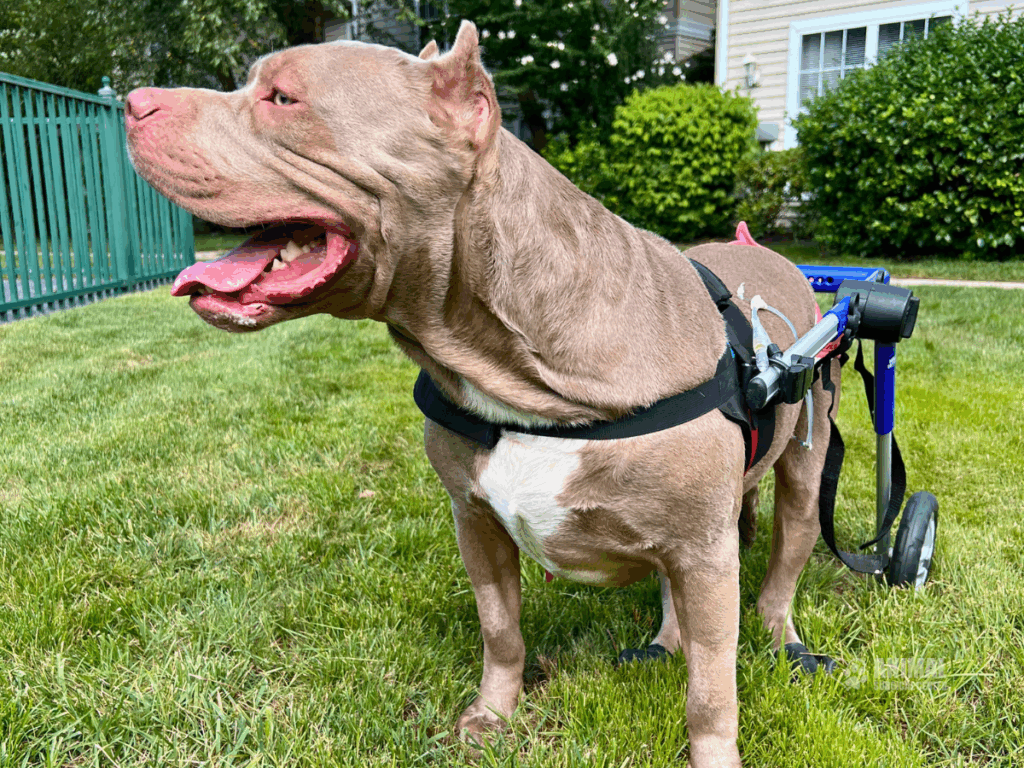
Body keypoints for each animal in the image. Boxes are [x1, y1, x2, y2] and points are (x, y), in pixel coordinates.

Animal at [125, 22, 839, 767]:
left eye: (283, 98)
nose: (133, 101)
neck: (520, 373)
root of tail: (767, 251)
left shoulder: (704, 551)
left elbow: (711, 688)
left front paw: (713, 751)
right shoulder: (476, 520)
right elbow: (501, 630)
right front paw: (494, 714)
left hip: (802, 474)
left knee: (780, 573)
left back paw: (783, 639)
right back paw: (665, 642)